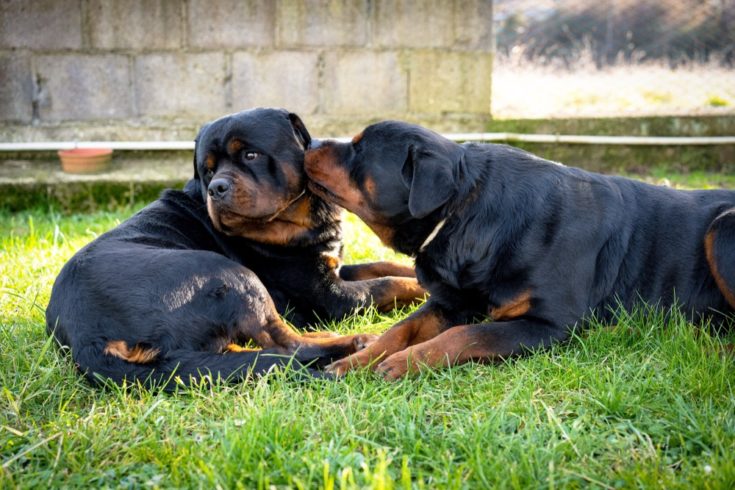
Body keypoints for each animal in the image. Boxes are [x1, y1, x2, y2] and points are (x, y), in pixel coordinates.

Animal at [304, 119, 735, 378]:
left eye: (359, 149)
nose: (309, 141)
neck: (467, 215)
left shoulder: (550, 323)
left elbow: (467, 334)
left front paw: (404, 363)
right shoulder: (452, 299)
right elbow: (400, 328)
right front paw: (355, 360)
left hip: (722, 227)